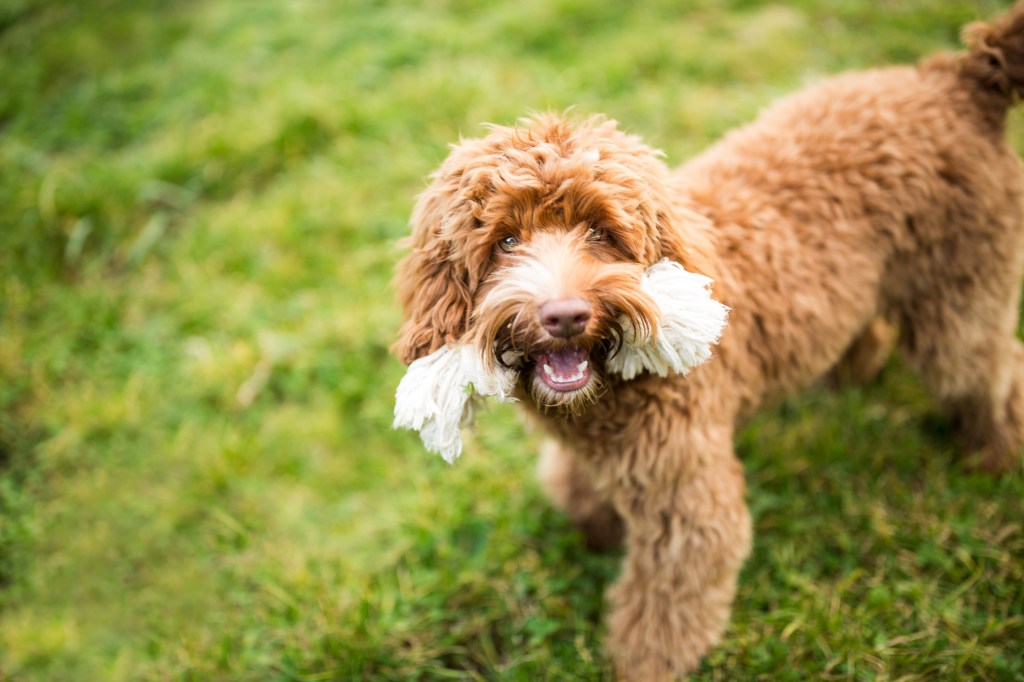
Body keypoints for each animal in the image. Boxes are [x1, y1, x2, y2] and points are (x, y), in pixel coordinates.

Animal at [395, 2, 1024, 675]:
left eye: (600, 232)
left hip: (960, 295)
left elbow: (671, 594)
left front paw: (643, 664)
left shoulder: (685, 489)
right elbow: (579, 494)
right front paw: (597, 523)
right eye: (505, 241)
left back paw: (995, 456)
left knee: (990, 369)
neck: (607, 391)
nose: (564, 316)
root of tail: (959, 79)